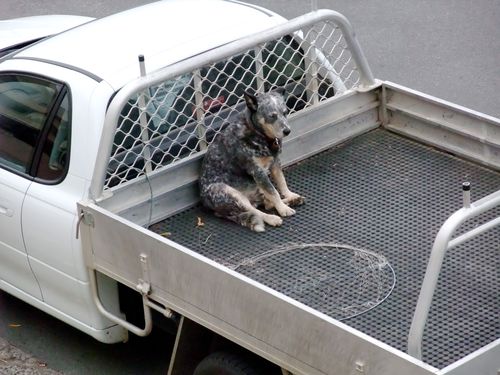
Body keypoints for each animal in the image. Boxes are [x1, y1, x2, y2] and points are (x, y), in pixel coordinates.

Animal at [199, 90, 304, 232]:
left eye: (285, 112)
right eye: (272, 116)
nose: (287, 130)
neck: (259, 134)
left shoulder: (275, 163)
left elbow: (281, 183)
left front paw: (289, 196)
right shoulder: (257, 171)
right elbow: (274, 192)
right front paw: (283, 209)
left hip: (256, 187)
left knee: (266, 204)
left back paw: (291, 201)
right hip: (229, 192)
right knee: (255, 210)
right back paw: (272, 217)